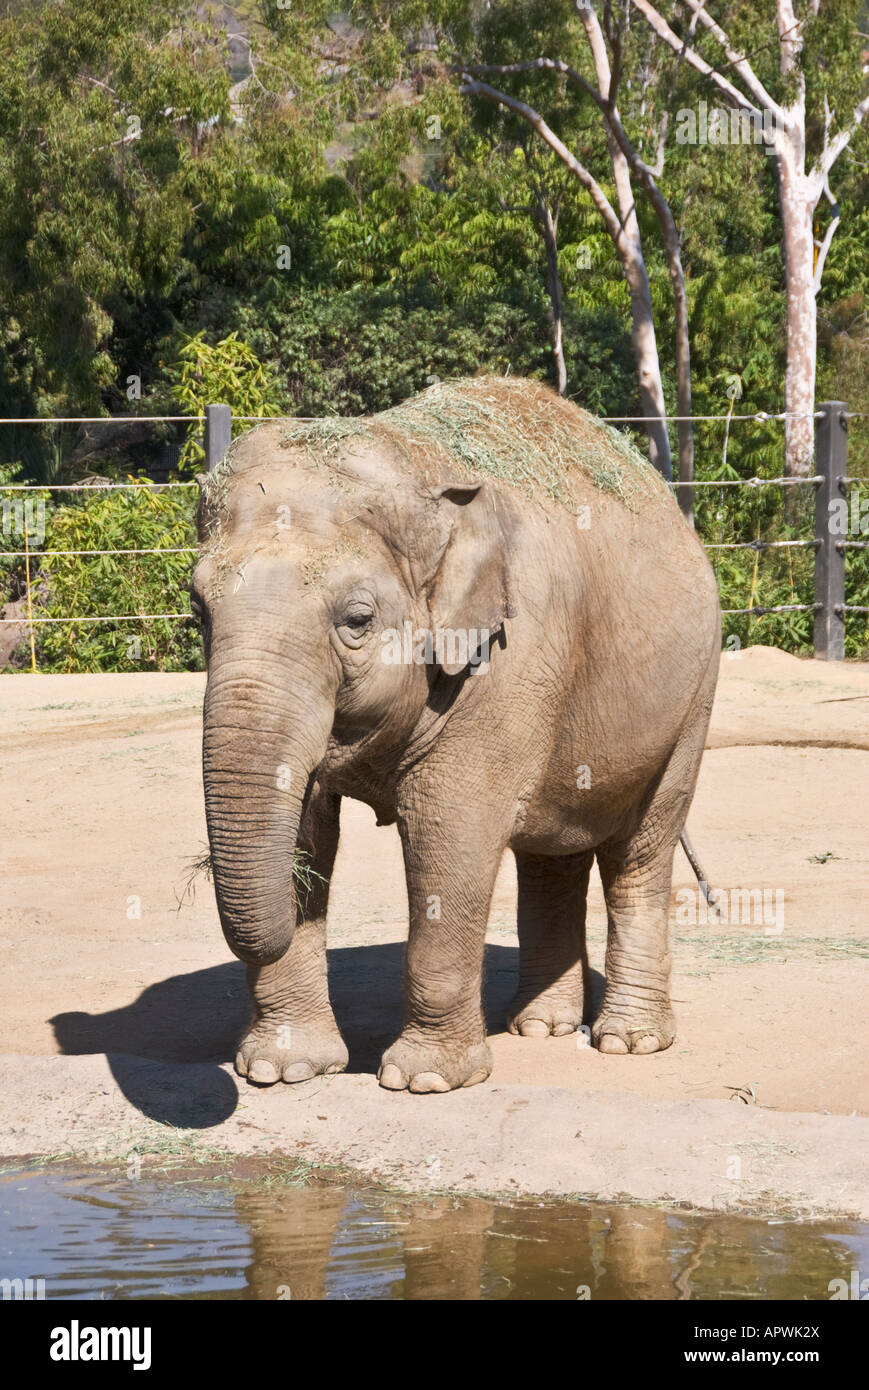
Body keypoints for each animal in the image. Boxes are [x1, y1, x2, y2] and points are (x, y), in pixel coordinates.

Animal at [191, 376, 720, 1094]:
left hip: (692, 697)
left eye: (356, 619)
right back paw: (541, 1027)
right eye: (198, 609)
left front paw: (423, 1081)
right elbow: (306, 828)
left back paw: (627, 1042)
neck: (414, 462)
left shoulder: (503, 661)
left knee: (641, 848)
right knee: (552, 852)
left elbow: (450, 833)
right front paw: (284, 1071)